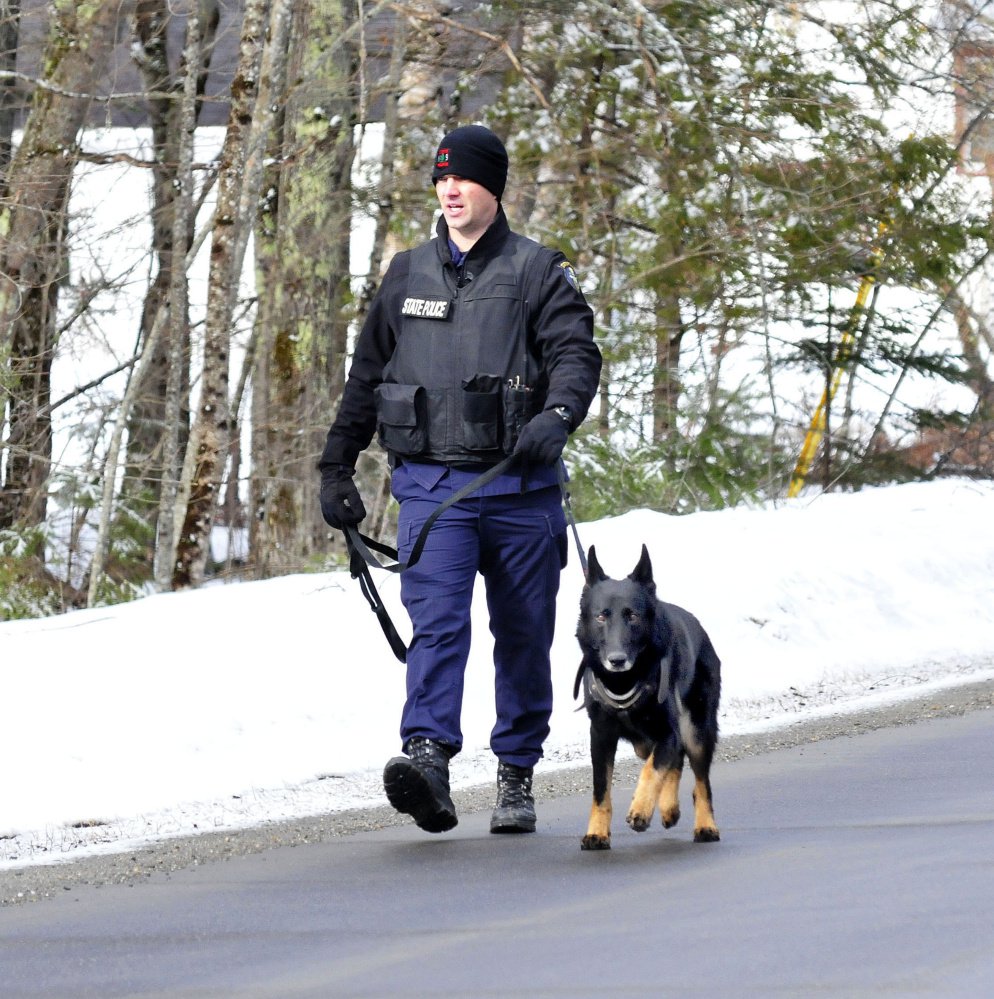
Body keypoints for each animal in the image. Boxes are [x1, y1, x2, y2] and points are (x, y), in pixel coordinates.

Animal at [572, 548, 720, 852]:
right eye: (601, 617)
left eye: (633, 616)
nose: (617, 660)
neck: (624, 682)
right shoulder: (601, 737)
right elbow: (601, 789)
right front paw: (597, 832)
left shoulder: (668, 732)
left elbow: (653, 770)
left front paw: (641, 809)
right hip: (650, 741)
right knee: (674, 759)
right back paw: (668, 807)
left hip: (696, 731)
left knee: (700, 781)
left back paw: (705, 825)